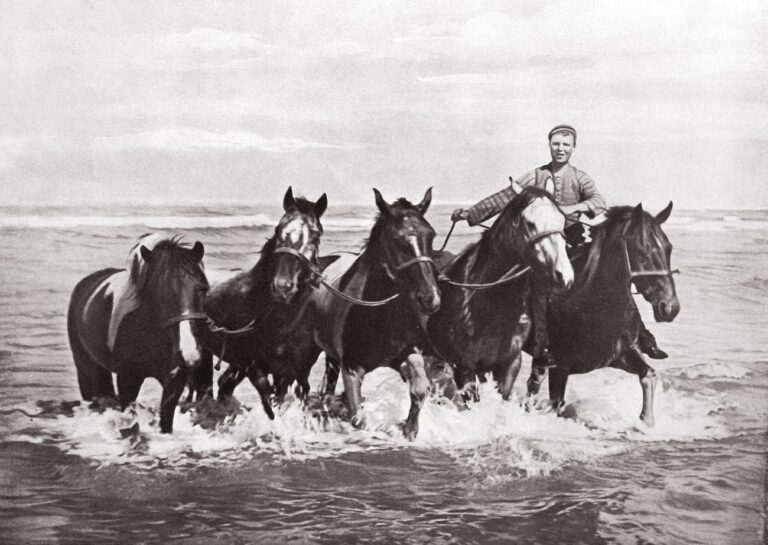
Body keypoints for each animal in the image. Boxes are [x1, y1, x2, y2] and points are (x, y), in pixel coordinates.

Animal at [67, 235, 208, 433]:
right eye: (160, 292)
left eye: (201, 289)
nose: (190, 354)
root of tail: (85, 283)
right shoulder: (128, 380)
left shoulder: (174, 382)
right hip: (86, 365)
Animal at [196, 187, 338, 419]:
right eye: (278, 228)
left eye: (316, 235)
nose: (282, 286)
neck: (282, 321)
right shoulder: (255, 367)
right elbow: (269, 402)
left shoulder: (292, 371)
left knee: (225, 385)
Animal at [311, 188, 441, 440]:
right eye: (396, 240)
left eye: (430, 235)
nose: (430, 298)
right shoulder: (351, 369)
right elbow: (358, 418)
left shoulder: (406, 354)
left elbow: (420, 389)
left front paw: (409, 429)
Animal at [525, 202, 680, 426]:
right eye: (641, 251)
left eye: (669, 248)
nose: (670, 307)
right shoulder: (559, 367)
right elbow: (554, 402)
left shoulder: (624, 354)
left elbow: (648, 374)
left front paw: (646, 421)